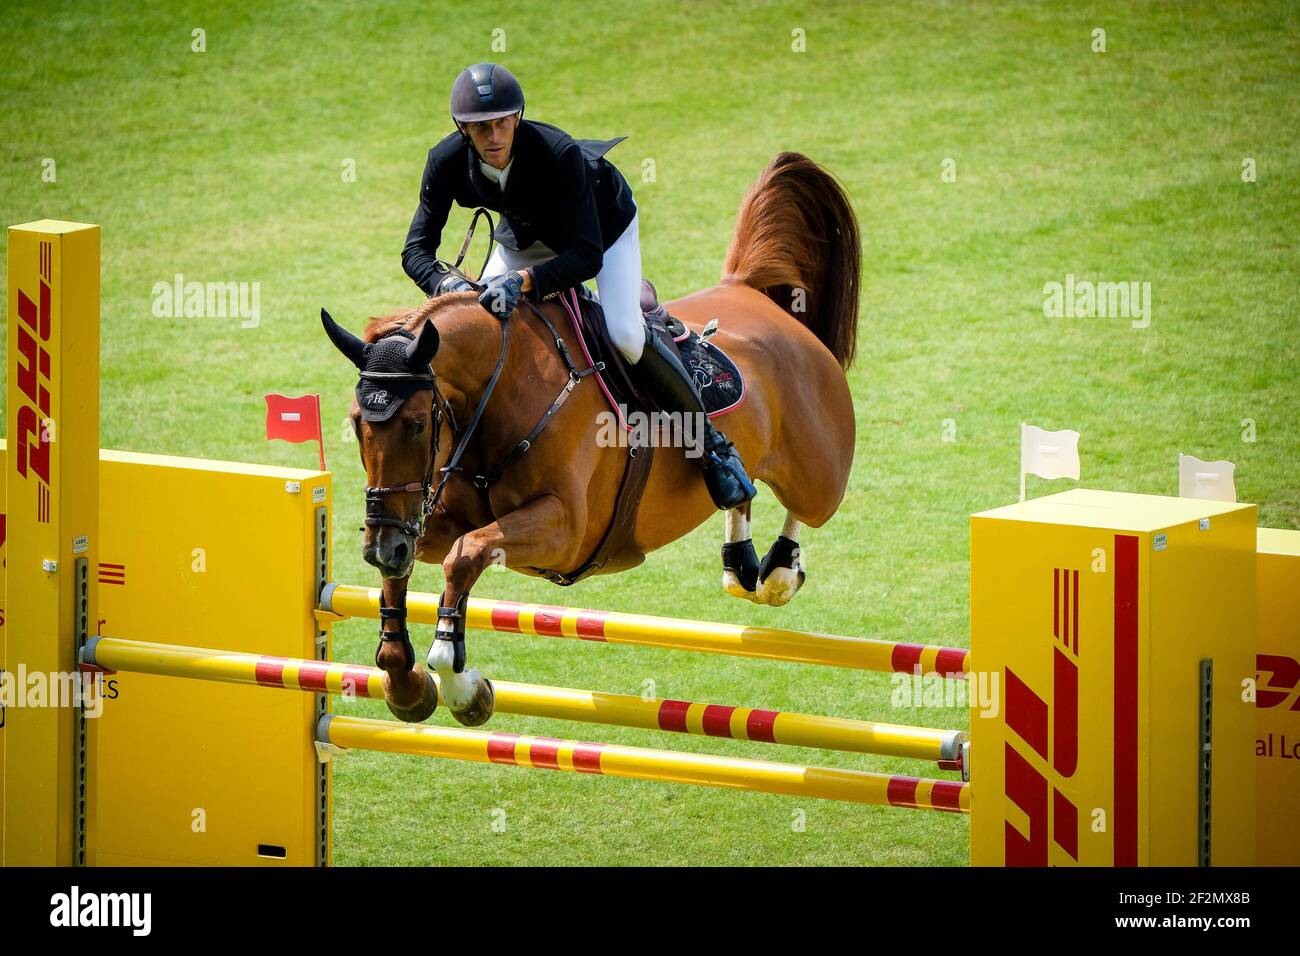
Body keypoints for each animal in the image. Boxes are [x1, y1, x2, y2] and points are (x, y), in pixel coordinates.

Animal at [321, 153, 857, 723]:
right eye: (356, 422)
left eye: (418, 424)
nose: (382, 547)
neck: (500, 391)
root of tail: (750, 291)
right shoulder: (428, 517)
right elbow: (417, 575)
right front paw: (407, 684)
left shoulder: (565, 529)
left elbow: (465, 554)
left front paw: (461, 682)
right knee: (748, 497)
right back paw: (741, 557)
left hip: (818, 471)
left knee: (807, 507)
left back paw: (778, 568)